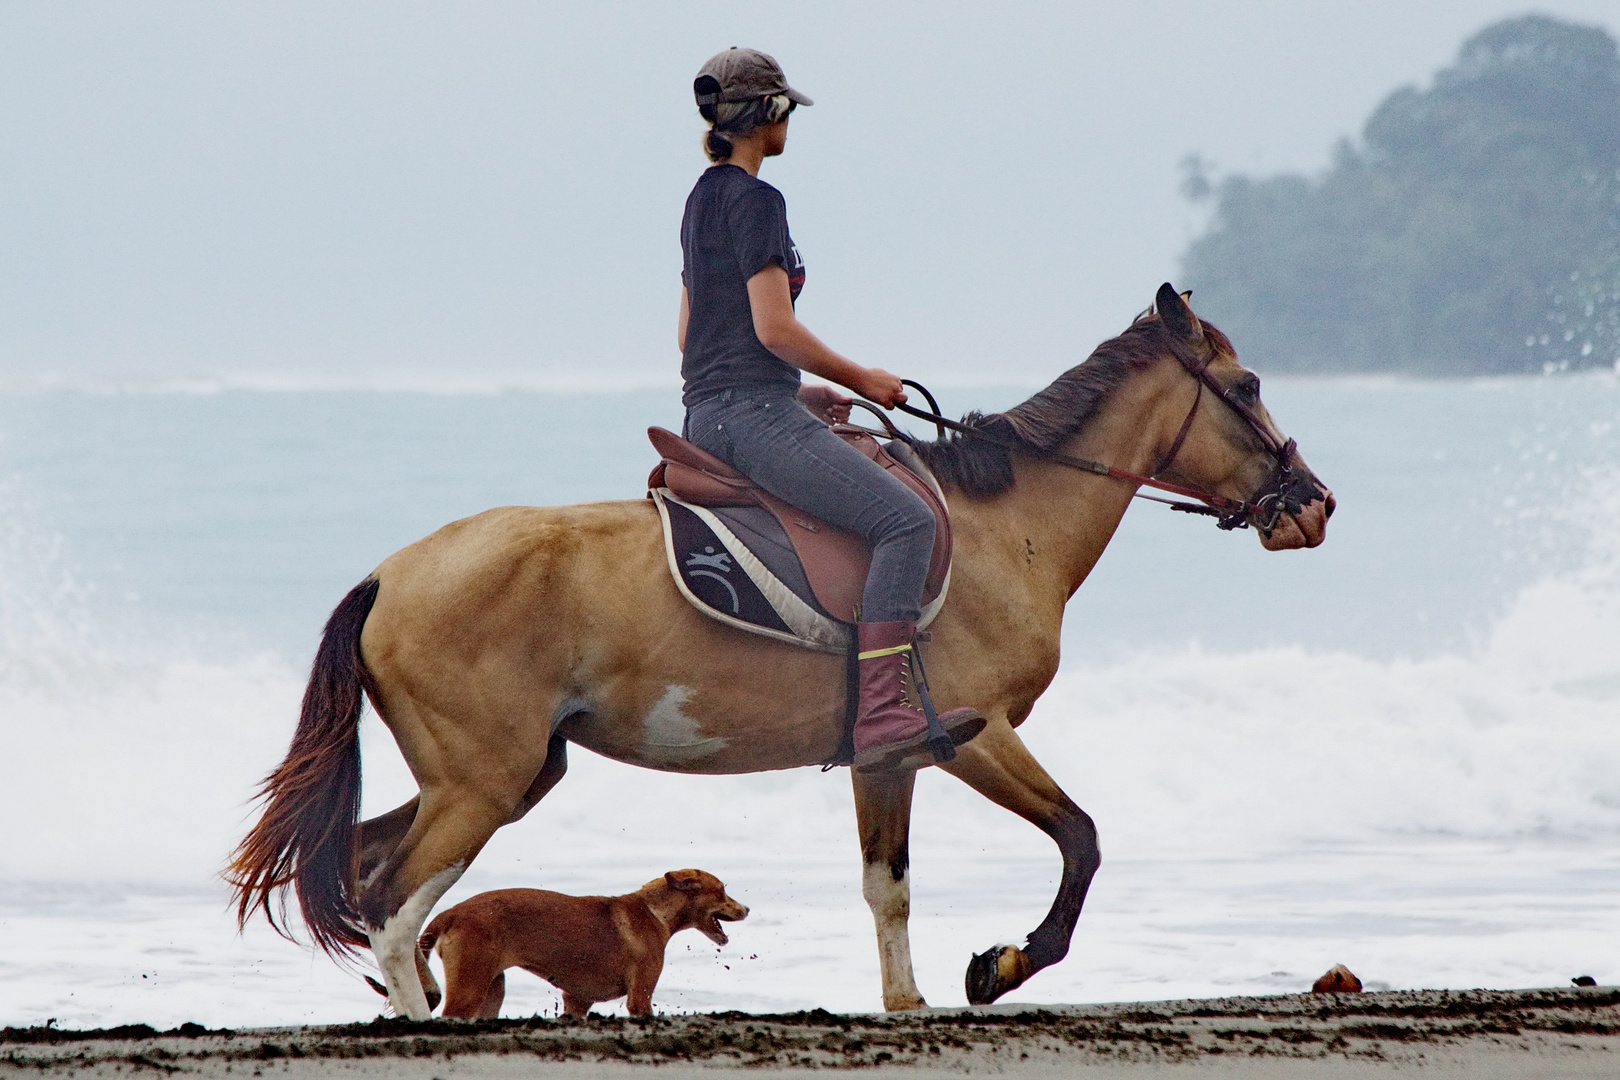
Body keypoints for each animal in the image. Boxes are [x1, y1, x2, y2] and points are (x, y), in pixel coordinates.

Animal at [382, 874, 748, 1016]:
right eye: (722, 891)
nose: (746, 909)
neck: (654, 910)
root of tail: (451, 912)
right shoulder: (639, 998)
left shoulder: (577, 1001)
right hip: (470, 987)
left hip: (491, 990)